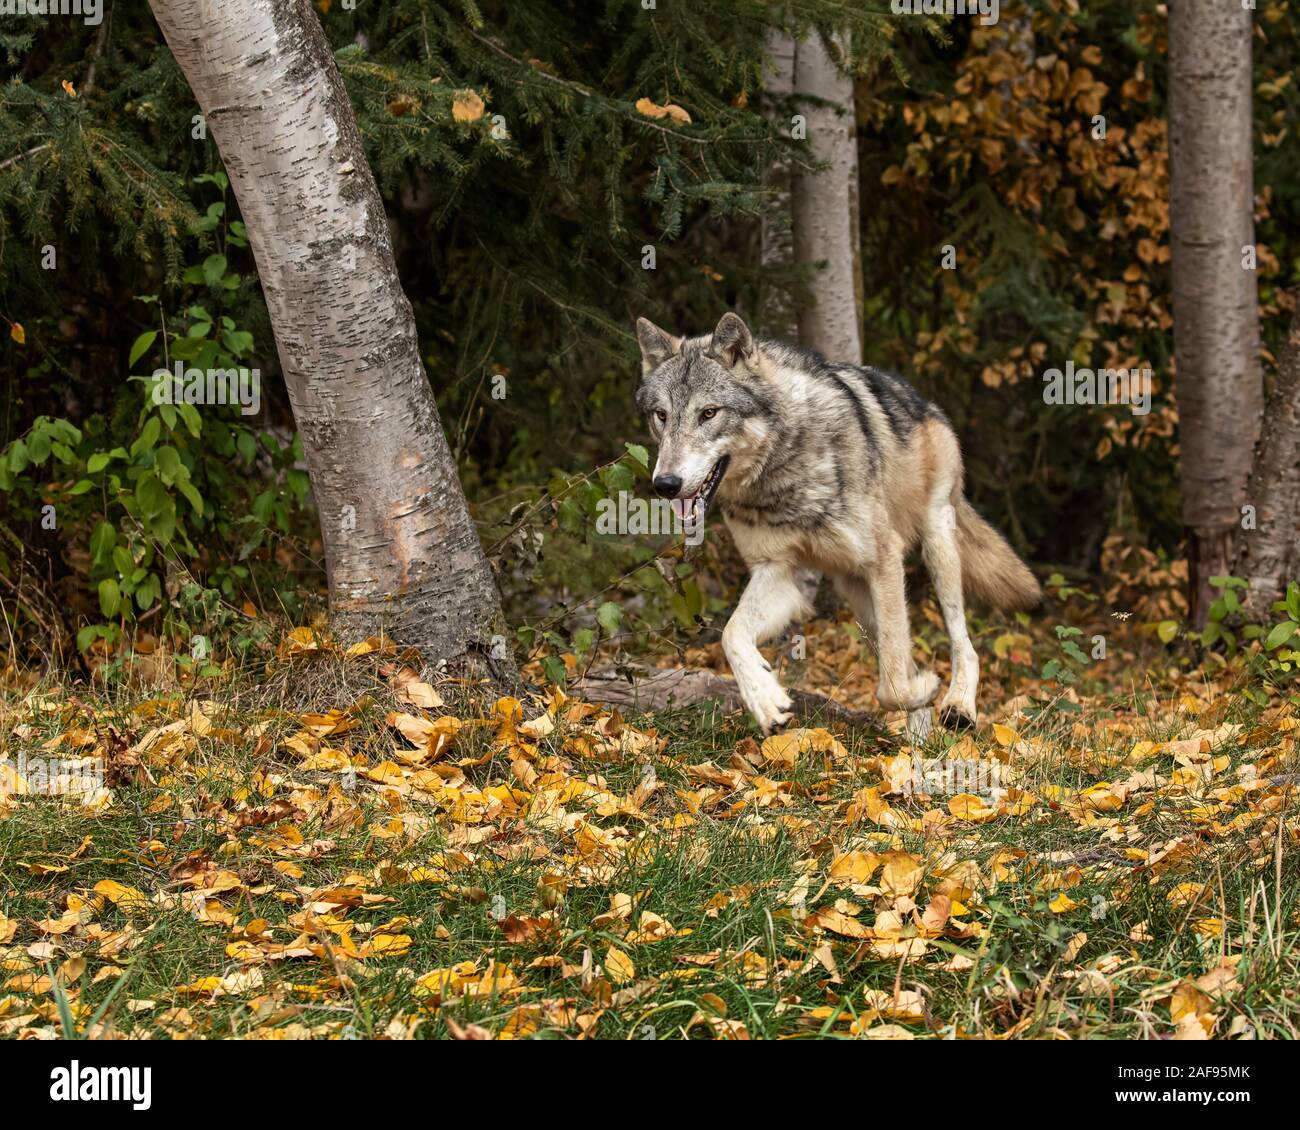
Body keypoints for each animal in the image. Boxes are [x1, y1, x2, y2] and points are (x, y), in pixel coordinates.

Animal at [634, 313, 1040, 738]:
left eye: (709, 413)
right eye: (662, 415)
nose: (665, 484)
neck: (782, 469)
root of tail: (922, 401)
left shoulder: (884, 558)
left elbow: (891, 688)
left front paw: (924, 690)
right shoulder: (777, 571)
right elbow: (731, 634)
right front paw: (767, 701)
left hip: (935, 548)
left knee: (963, 644)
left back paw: (958, 705)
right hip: (857, 591)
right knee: (904, 654)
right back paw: (920, 737)